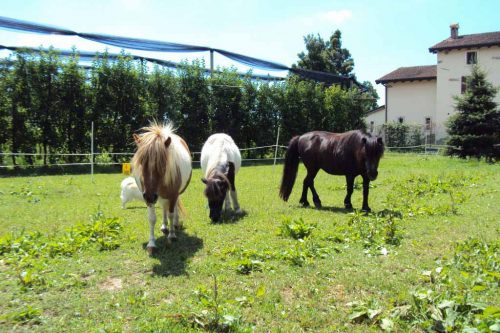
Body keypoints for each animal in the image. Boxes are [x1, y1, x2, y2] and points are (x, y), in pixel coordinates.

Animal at [132, 123, 192, 253]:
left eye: (162, 163)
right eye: (141, 162)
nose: (150, 196)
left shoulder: (173, 195)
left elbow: (171, 213)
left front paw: (172, 235)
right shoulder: (149, 197)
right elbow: (152, 218)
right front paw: (151, 244)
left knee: (173, 209)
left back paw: (175, 224)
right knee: (164, 208)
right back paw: (164, 226)